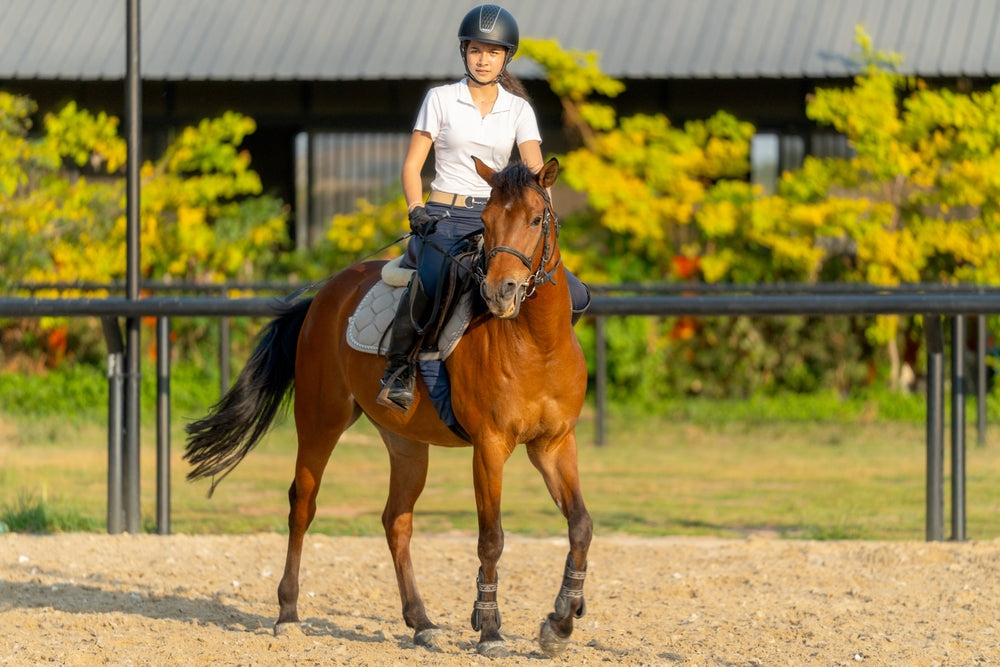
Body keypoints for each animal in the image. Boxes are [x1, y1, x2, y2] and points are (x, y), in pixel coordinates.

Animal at [184, 157, 592, 658]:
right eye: (488, 220)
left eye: (536, 220)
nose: (501, 292)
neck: (536, 343)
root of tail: (327, 292)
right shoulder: (490, 447)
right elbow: (491, 538)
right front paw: (491, 630)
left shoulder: (554, 445)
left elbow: (580, 525)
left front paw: (560, 621)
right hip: (320, 421)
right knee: (303, 505)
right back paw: (288, 614)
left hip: (406, 443)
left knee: (396, 521)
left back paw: (421, 623)